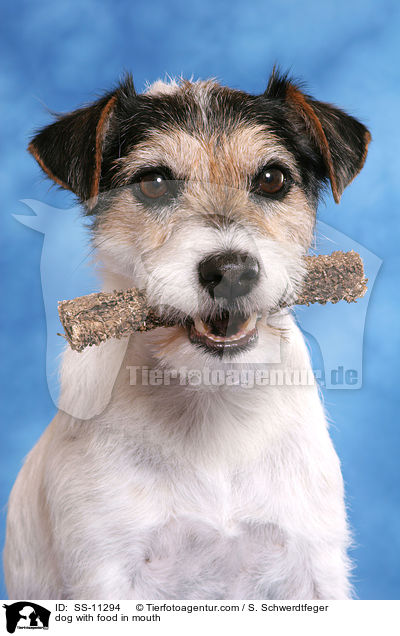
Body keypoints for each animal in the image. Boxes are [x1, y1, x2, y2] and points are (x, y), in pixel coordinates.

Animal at [4, 71, 370, 600]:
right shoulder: (105, 574)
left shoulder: (313, 564)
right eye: (154, 182)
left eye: (272, 178)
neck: (213, 406)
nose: (232, 271)